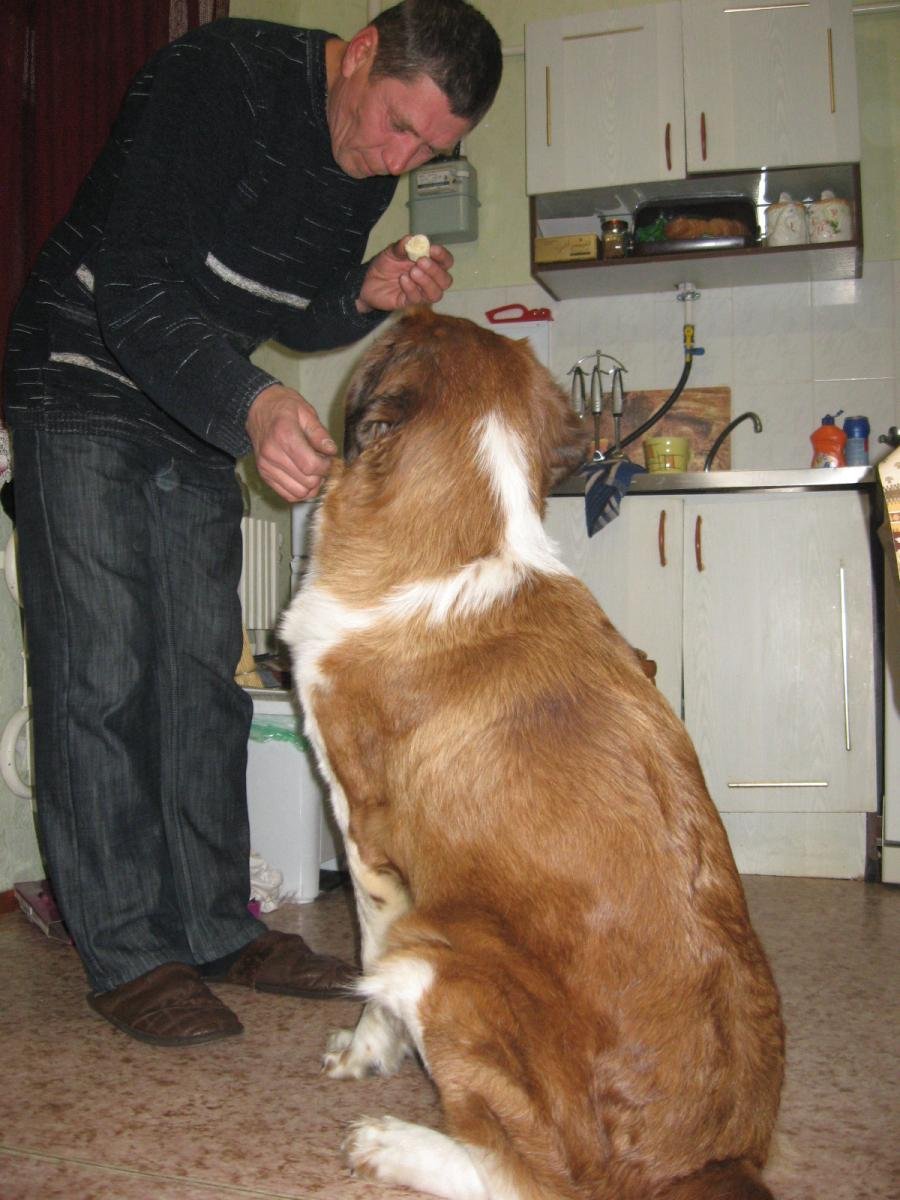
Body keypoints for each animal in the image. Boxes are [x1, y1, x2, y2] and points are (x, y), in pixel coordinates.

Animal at [281, 308, 784, 1200]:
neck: (456, 543)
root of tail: (709, 1162)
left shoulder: (365, 835)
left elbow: (367, 956)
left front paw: (369, 1052)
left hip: (440, 961)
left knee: (524, 1178)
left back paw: (394, 1144)